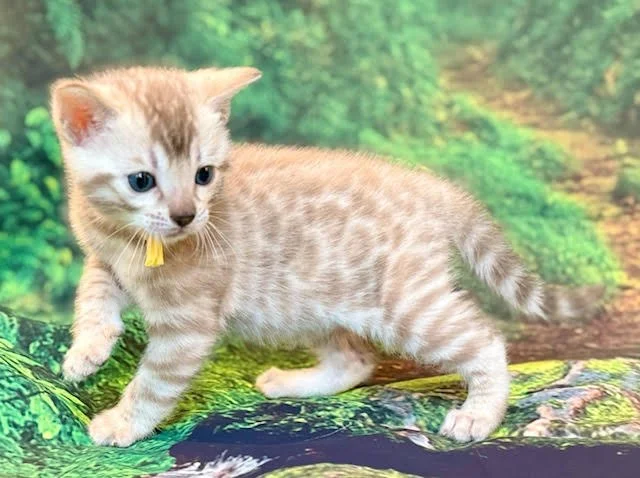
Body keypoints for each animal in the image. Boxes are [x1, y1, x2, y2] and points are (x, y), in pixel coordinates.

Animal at [50, 66, 604, 447]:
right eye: (141, 181)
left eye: (204, 174)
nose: (187, 216)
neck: (130, 240)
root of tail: (435, 186)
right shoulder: (103, 260)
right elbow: (92, 296)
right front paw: (86, 352)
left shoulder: (187, 325)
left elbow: (154, 382)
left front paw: (123, 423)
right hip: (308, 304)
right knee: (356, 360)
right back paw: (294, 381)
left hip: (406, 306)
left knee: (484, 340)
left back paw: (479, 414)